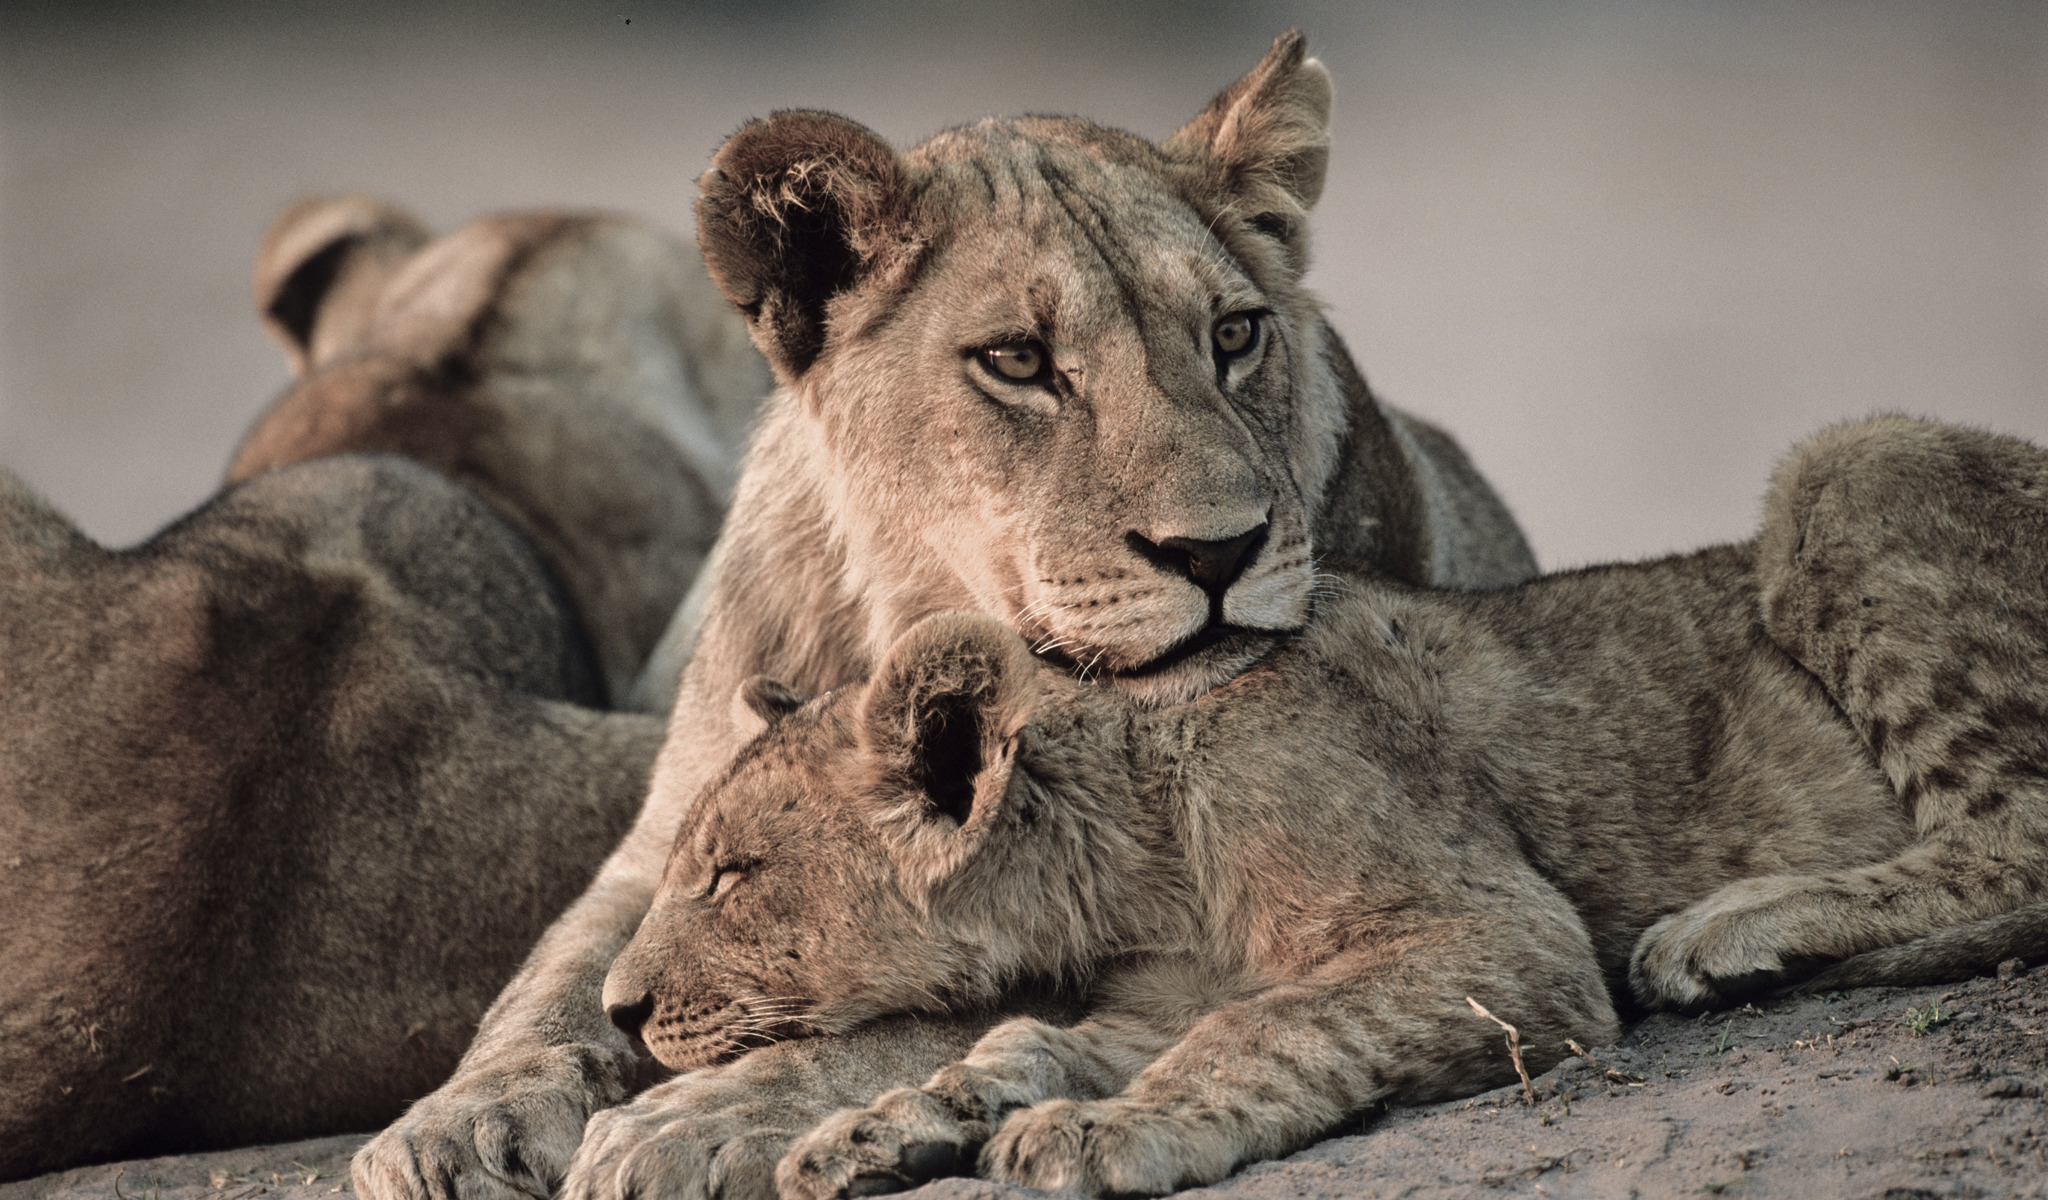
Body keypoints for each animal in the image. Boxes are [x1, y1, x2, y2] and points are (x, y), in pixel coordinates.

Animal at [598, 413, 2048, 1195]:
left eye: (728, 873)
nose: (614, 1009)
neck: (1128, 865)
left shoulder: (1494, 935)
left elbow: (1266, 1033)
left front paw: (1109, 1131)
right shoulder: (1158, 990)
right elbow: (1025, 1041)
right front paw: (883, 1127)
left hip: (1847, 467)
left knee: (2019, 837)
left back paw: (1733, 934)